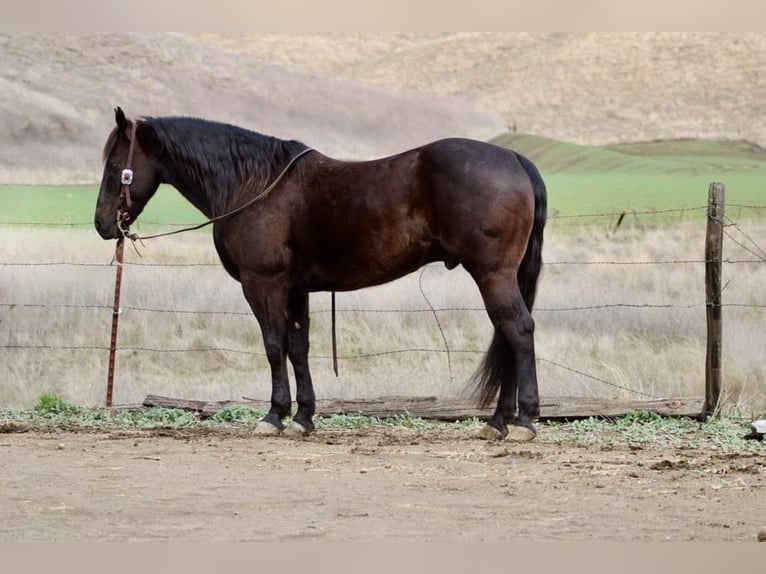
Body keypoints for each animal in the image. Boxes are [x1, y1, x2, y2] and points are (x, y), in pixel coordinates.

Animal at [96, 108, 548, 440]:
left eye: (116, 164)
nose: (102, 224)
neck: (254, 185)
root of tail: (513, 159)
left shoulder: (263, 284)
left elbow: (273, 345)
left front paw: (274, 416)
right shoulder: (297, 289)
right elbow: (298, 348)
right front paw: (303, 417)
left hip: (492, 274)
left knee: (518, 330)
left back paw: (524, 421)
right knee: (508, 334)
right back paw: (498, 422)